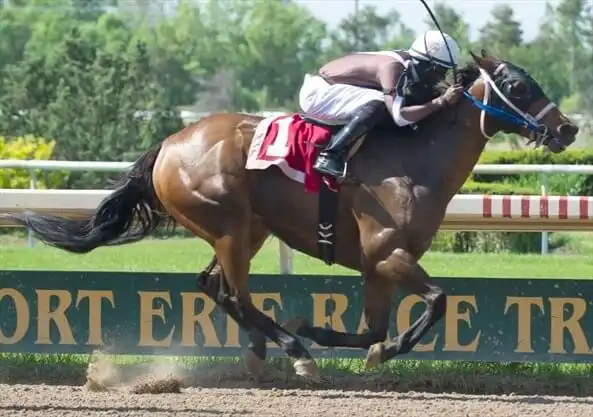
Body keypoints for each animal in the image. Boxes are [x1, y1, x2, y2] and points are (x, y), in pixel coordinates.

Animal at [5, 50, 580, 378]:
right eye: (520, 86)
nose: (569, 129)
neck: (416, 158)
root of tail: (169, 142)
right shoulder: (387, 252)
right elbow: (438, 301)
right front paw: (329, 339)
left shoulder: (378, 265)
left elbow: (372, 330)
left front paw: (353, 343)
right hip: (229, 226)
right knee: (235, 294)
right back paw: (292, 348)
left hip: (247, 230)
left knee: (214, 288)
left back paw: (269, 346)